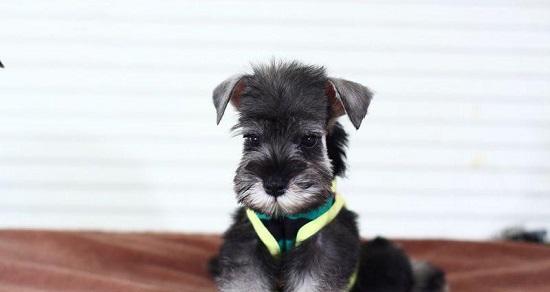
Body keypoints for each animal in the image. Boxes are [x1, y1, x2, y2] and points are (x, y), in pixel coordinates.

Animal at [209, 60, 446, 290]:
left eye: (309, 139)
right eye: (252, 138)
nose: (274, 185)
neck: (286, 219)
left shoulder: (324, 250)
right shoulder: (247, 249)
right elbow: (246, 280)